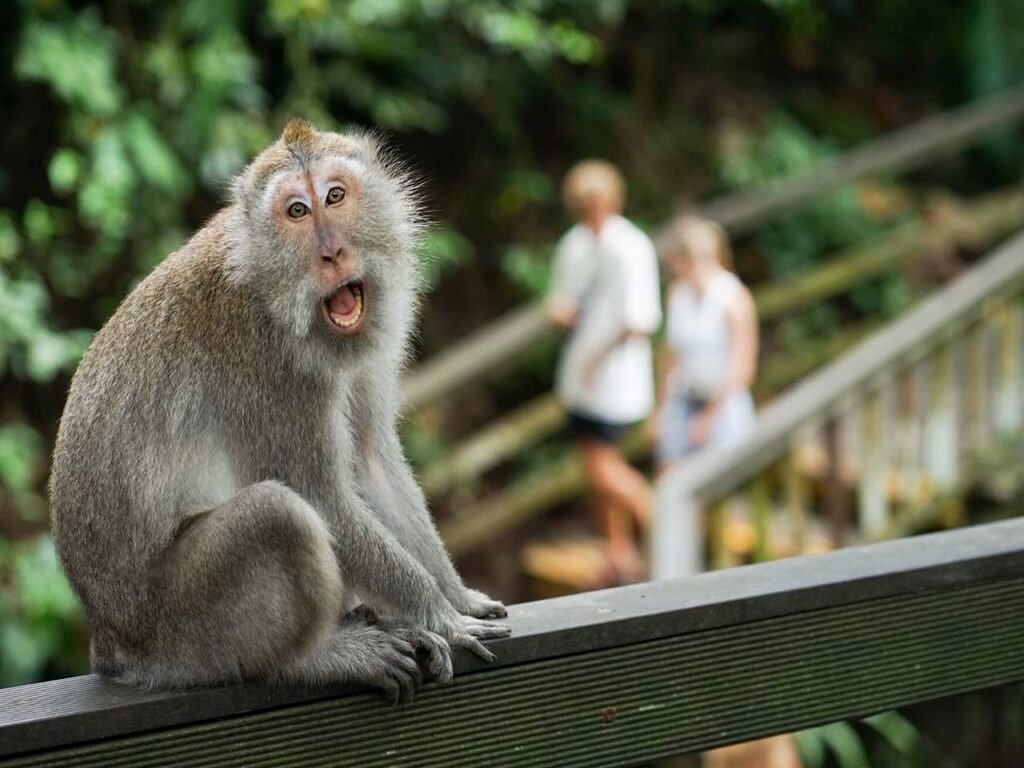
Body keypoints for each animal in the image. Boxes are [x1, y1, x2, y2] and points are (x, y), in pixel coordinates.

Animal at [48, 120, 512, 704]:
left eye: (334, 196)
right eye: (296, 211)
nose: (332, 253)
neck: (274, 293)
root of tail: (109, 641)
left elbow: (372, 463)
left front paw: (458, 595)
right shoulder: (270, 369)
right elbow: (322, 497)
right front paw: (438, 613)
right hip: (179, 627)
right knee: (278, 515)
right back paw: (317, 658)